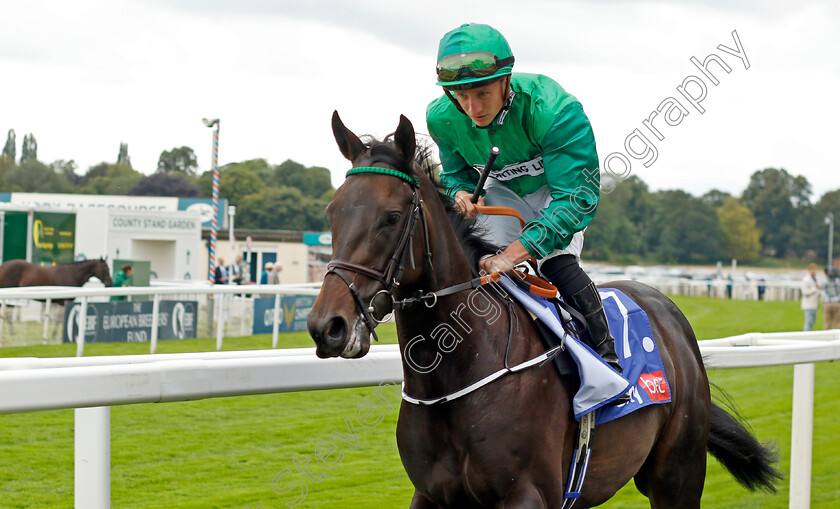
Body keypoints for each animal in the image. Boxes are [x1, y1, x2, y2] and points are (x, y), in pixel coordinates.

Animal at [308, 114, 780, 508]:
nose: (327, 326)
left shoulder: (527, 495)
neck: (458, 372)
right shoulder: (430, 495)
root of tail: (666, 309)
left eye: (391, 217)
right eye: (331, 212)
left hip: (677, 475)